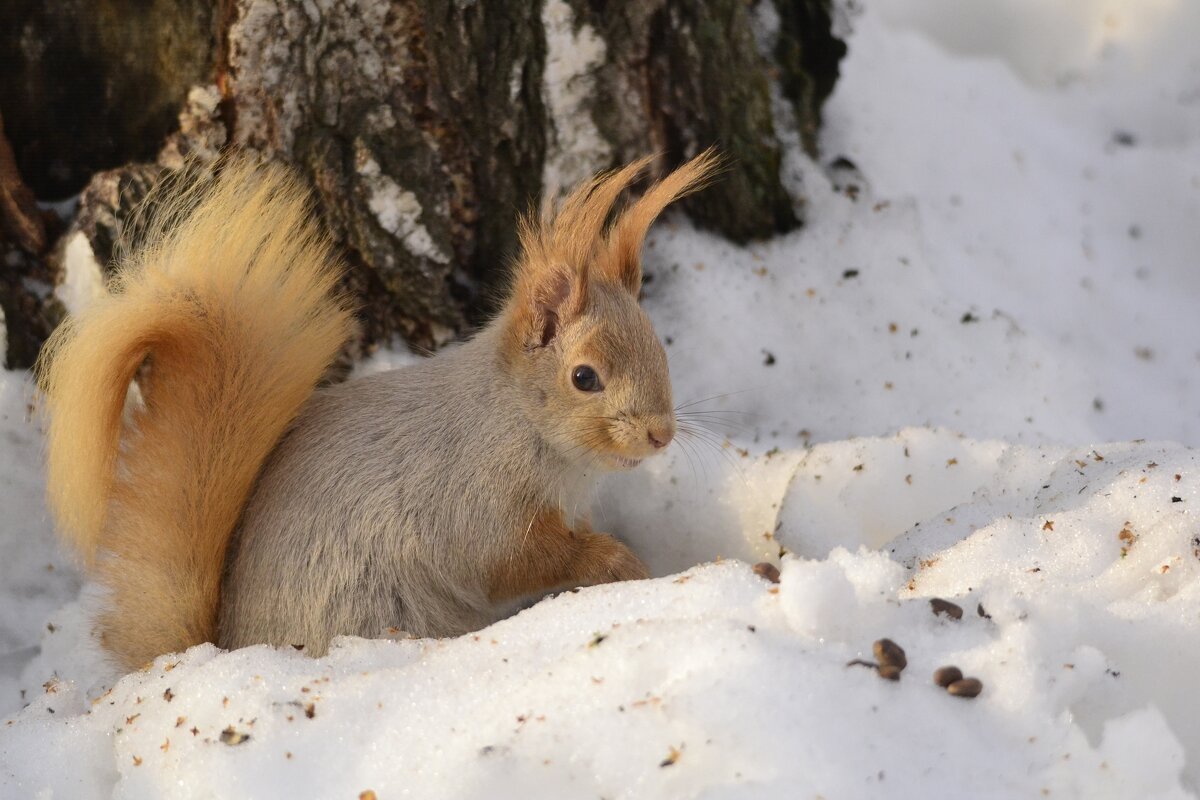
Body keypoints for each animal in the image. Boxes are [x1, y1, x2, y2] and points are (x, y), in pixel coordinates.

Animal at [39, 148, 720, 671]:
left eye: (659, 349)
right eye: (584, 377)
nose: (660, 435)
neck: (518, 423)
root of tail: (228, 648)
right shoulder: (476, 503)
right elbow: (513, 561)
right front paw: (616, 562)